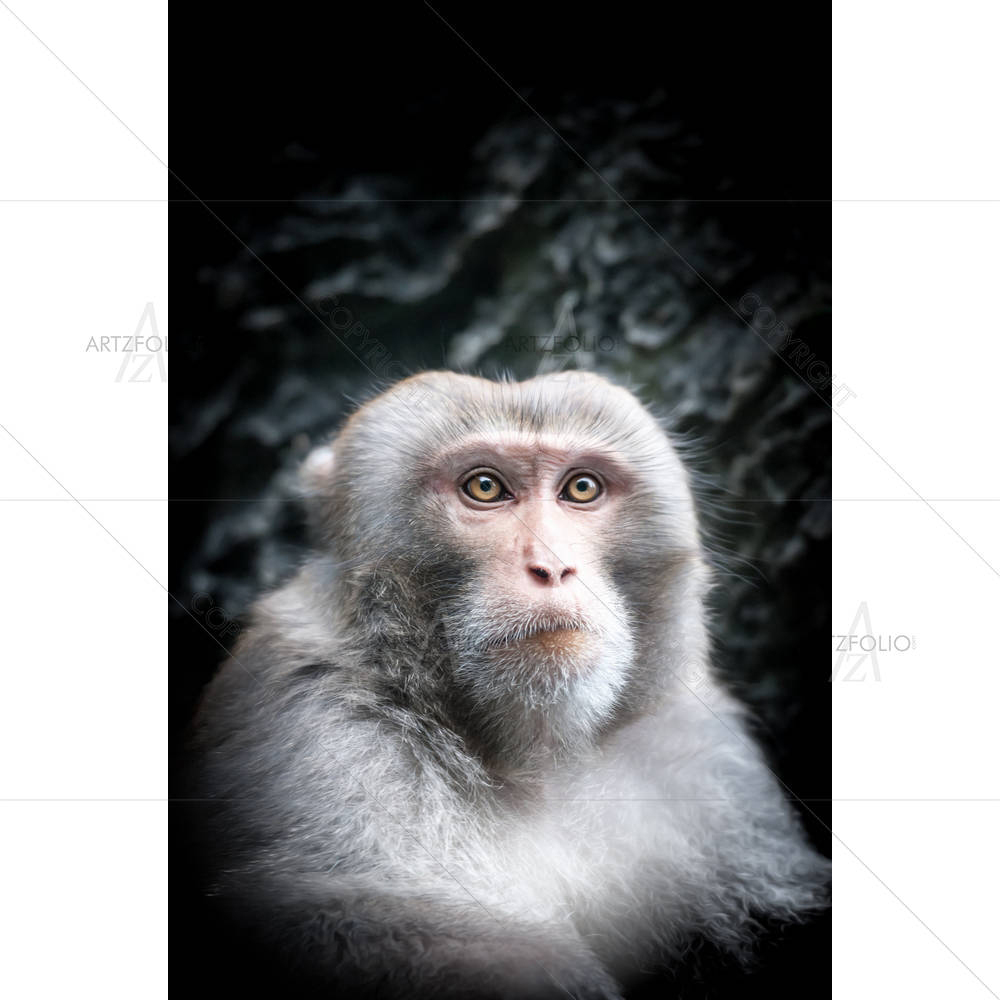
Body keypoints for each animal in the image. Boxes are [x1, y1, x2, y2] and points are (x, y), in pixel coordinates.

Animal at [187, 370, 829, 999]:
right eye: (485, 488)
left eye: (582, 489)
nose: (552, 566)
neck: (535, 758)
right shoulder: (314, 723)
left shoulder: (700, 749)